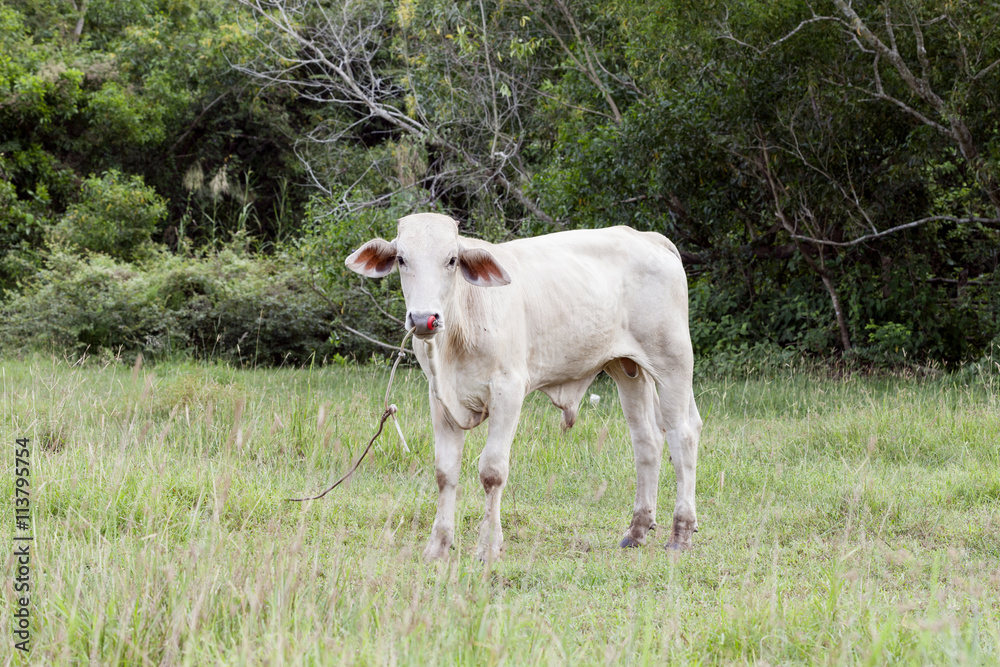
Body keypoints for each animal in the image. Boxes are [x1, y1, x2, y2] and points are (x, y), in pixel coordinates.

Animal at [346, 213, 704, 560]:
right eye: (402, 259)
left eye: (451, 260)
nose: (423, 319)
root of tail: (646, 237)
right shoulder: (439, 396)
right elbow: (445, 472)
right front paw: (438, 547)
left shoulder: (508, 390)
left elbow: (492, 470)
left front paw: (489, 547)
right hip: (628, 368)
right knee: (646, 440)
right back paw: (637, 530)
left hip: (672, 361)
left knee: (683, 434)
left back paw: (681, 534)